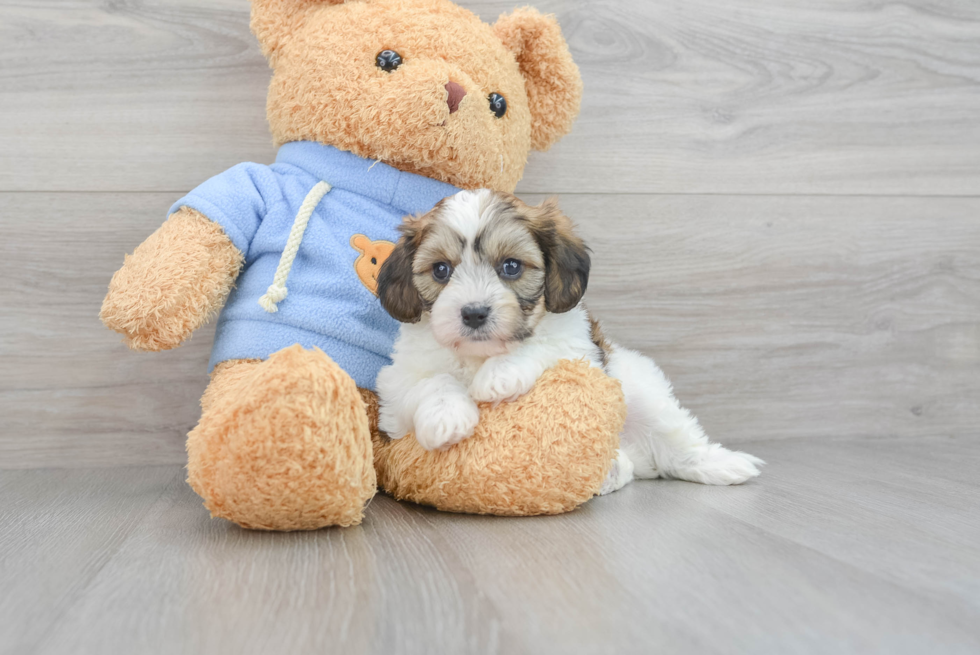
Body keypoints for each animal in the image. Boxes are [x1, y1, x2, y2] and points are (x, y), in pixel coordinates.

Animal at [372, 190, 760, 492]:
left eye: (511, 266)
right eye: (441, 270)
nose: (474, 313)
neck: (480, 355)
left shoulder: (581, 348)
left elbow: (544, 345)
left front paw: (499, 375)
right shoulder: (396, 390)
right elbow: (431, 381)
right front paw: (447, 417)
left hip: (640, 390)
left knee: (676, 437)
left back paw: (721, 464)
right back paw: (613, 470)